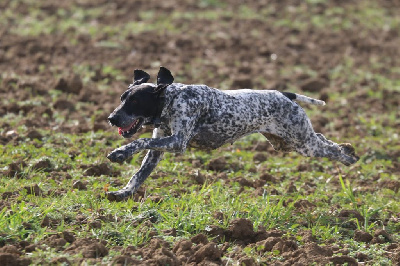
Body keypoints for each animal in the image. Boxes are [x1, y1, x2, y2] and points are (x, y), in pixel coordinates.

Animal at [107, 67, 360, 202]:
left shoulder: (177, 142)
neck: (171, 100)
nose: (112, 118)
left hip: (302, 143)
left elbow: (140, 140)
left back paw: (348, 155)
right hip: (289, 143)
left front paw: (120, 152)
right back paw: (347, 150)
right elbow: (138, 175)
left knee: (330, 148)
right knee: (323, 139)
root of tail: (284, 94)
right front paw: (123, 192)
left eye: (135, 102)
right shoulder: (157, 150)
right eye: (121, 98)